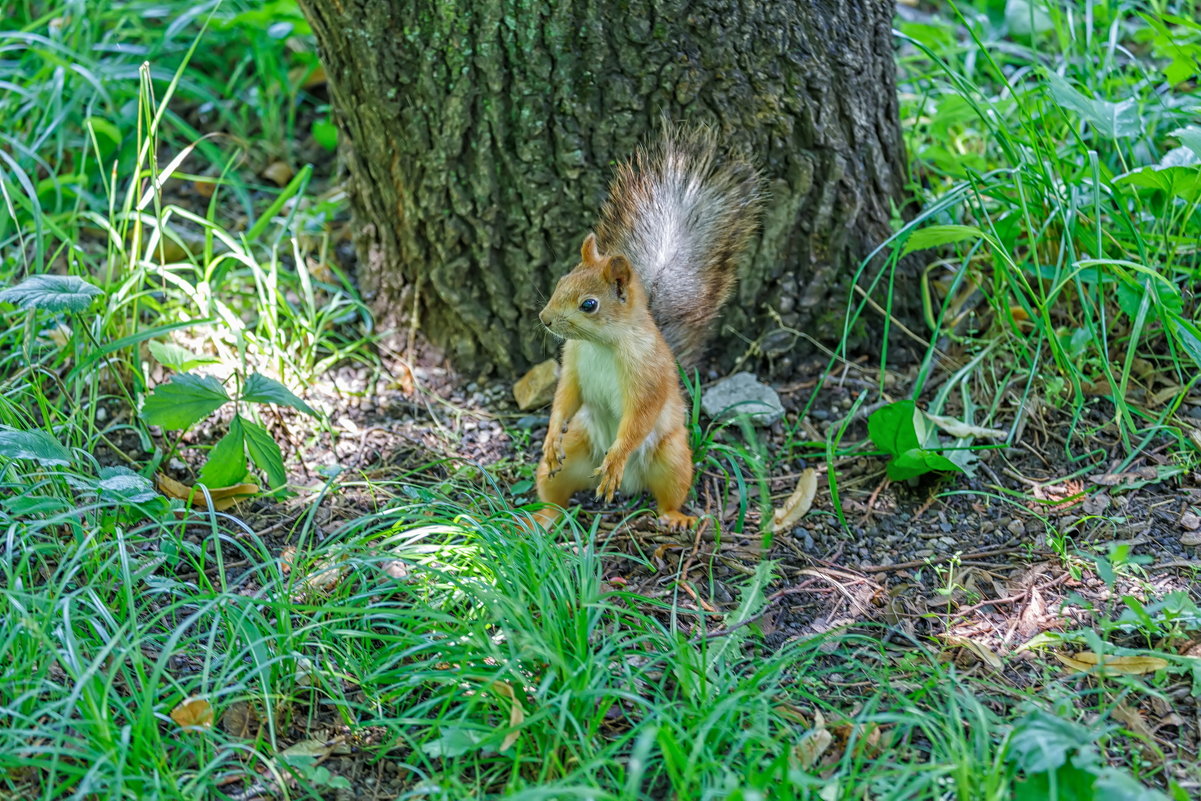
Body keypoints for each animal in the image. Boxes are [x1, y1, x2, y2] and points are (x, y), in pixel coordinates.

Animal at [533, 125, 759, 528]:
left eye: (589, 304)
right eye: (562, 281)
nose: (545, 319)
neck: (601, 343)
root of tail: (631, 487)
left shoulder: (648, 372)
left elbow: (640, 416)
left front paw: (616, 457)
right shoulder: (573, 361)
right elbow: (565, 396)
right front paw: (550, 435)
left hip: (673, 458)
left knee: (670, 493)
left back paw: (674, 516)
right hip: (573, 454)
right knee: (555, 492)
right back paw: (542, 516)